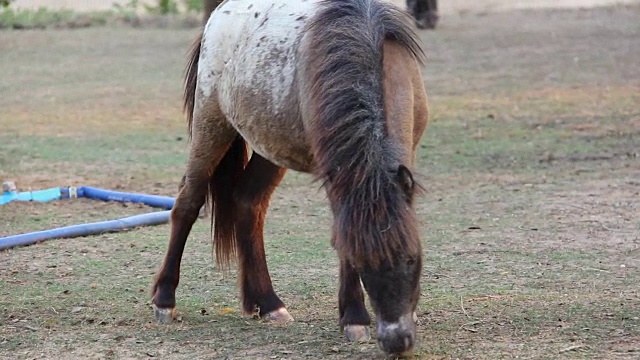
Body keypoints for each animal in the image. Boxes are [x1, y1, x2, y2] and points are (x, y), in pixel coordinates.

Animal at [150, 0, 430, 354]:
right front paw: (354, 318)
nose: (396, 341)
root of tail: (218, 15)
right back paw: (165, 299)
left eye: (412, 258)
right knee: (188, 203)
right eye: (362, 262)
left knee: (247, 203)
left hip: (268, 150)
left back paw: (266, 303)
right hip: (211, 126)